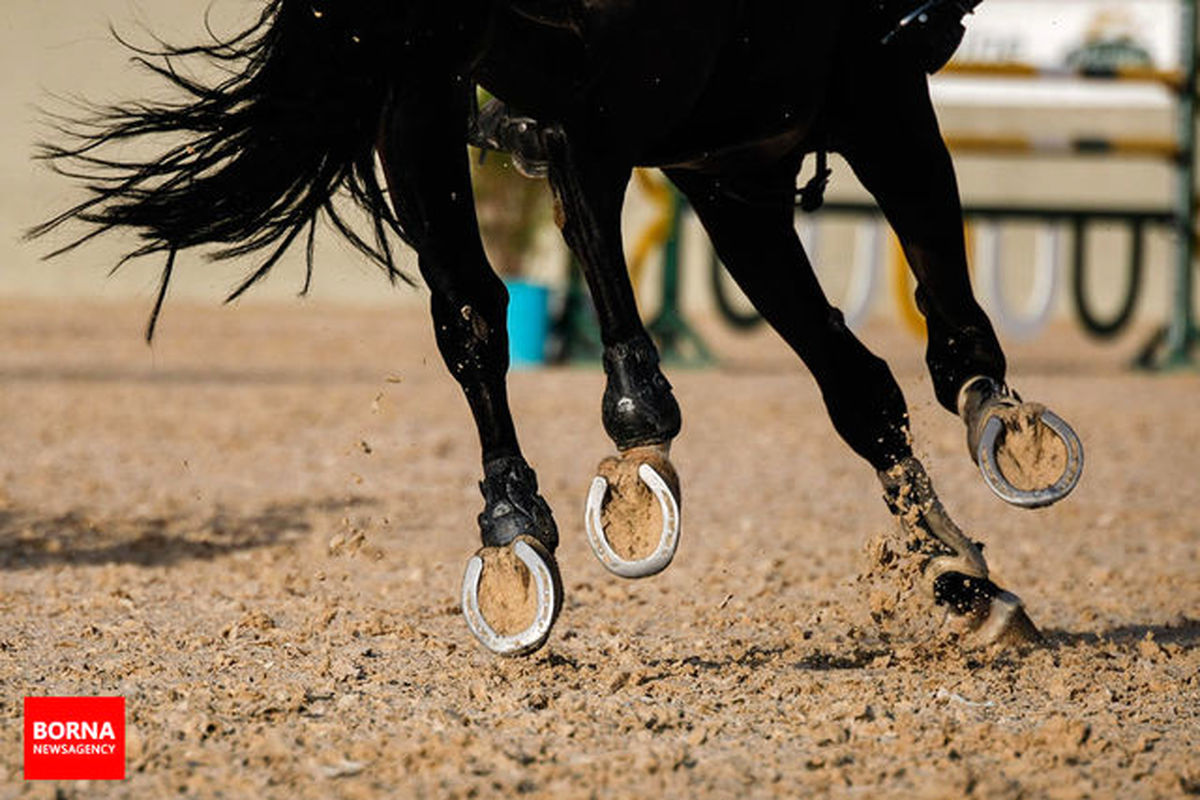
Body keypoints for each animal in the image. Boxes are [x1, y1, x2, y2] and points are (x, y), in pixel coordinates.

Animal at [28, 0, 1084, 657]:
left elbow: (857, 387)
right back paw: (631, 417)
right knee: (575, 161)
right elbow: (942, 322)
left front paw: (962, 575)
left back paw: (515, 520)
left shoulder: (733, 173)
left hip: (421, 71)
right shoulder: (861, 97)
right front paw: (1000, 444)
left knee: (473, 307)